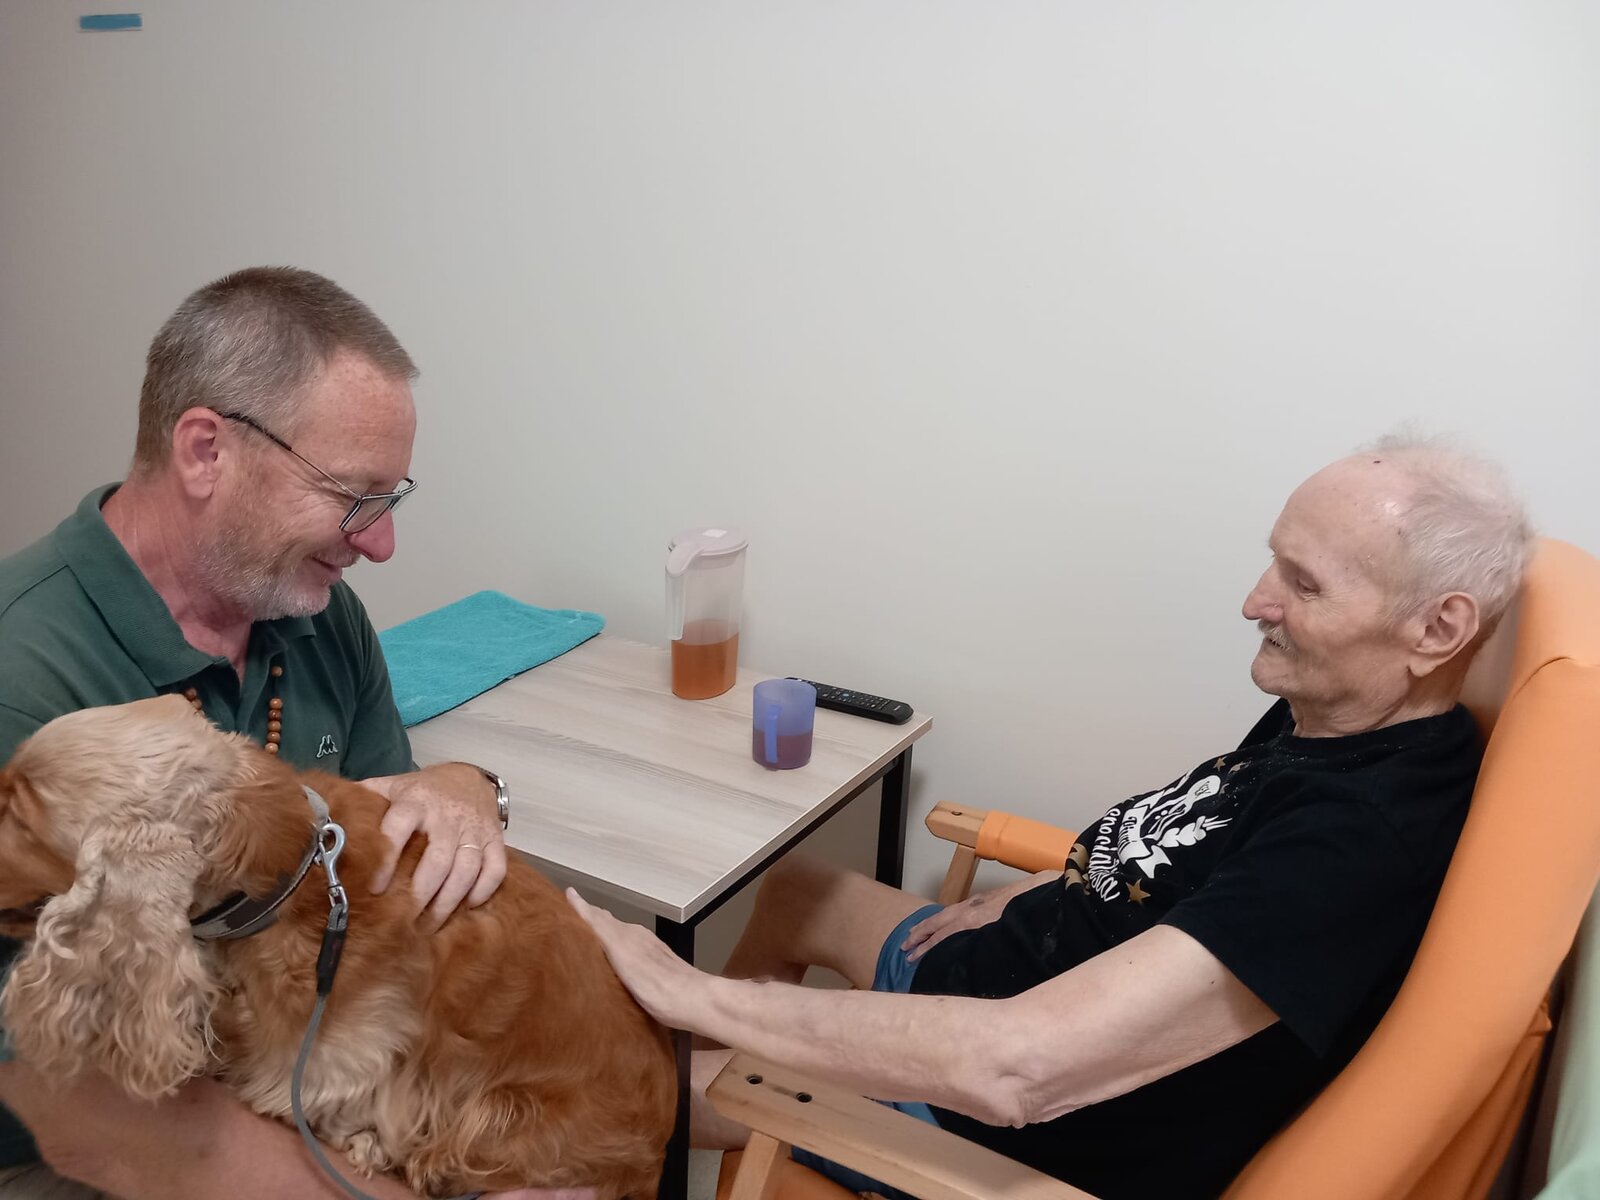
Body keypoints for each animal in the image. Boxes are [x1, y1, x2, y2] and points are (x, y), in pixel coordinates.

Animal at [0, 695, 676, 1199]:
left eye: (21, 816)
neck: (287, 868)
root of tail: (655, 1155)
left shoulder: (333, 1071)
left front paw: (365, 1141)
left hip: (505, 1120)